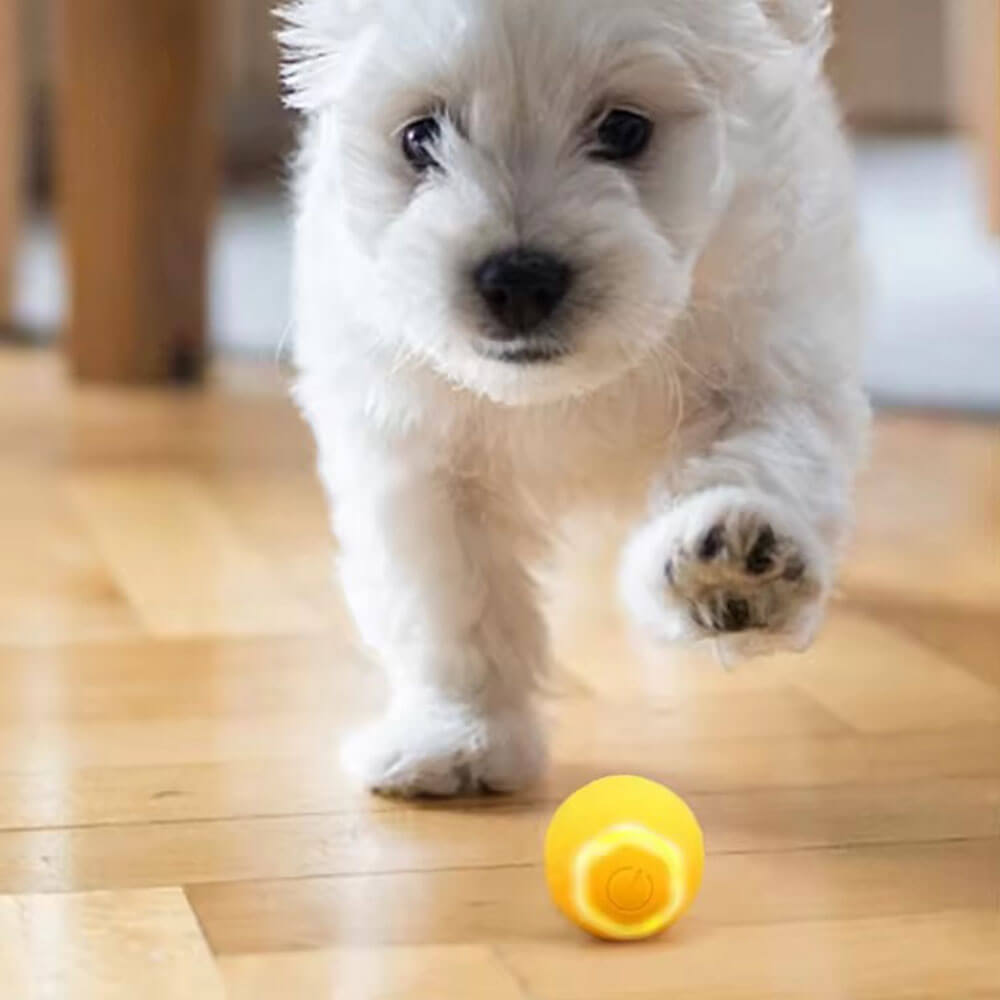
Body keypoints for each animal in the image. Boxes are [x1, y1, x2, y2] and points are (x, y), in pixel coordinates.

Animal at [280, 0, 868, 796]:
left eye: (624, 129)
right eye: (419, 136)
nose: (519, 281)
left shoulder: (770, 368)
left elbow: (757, 462)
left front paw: (732, 557)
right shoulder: (417, 452)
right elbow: (452, 599)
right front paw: (459, 737)